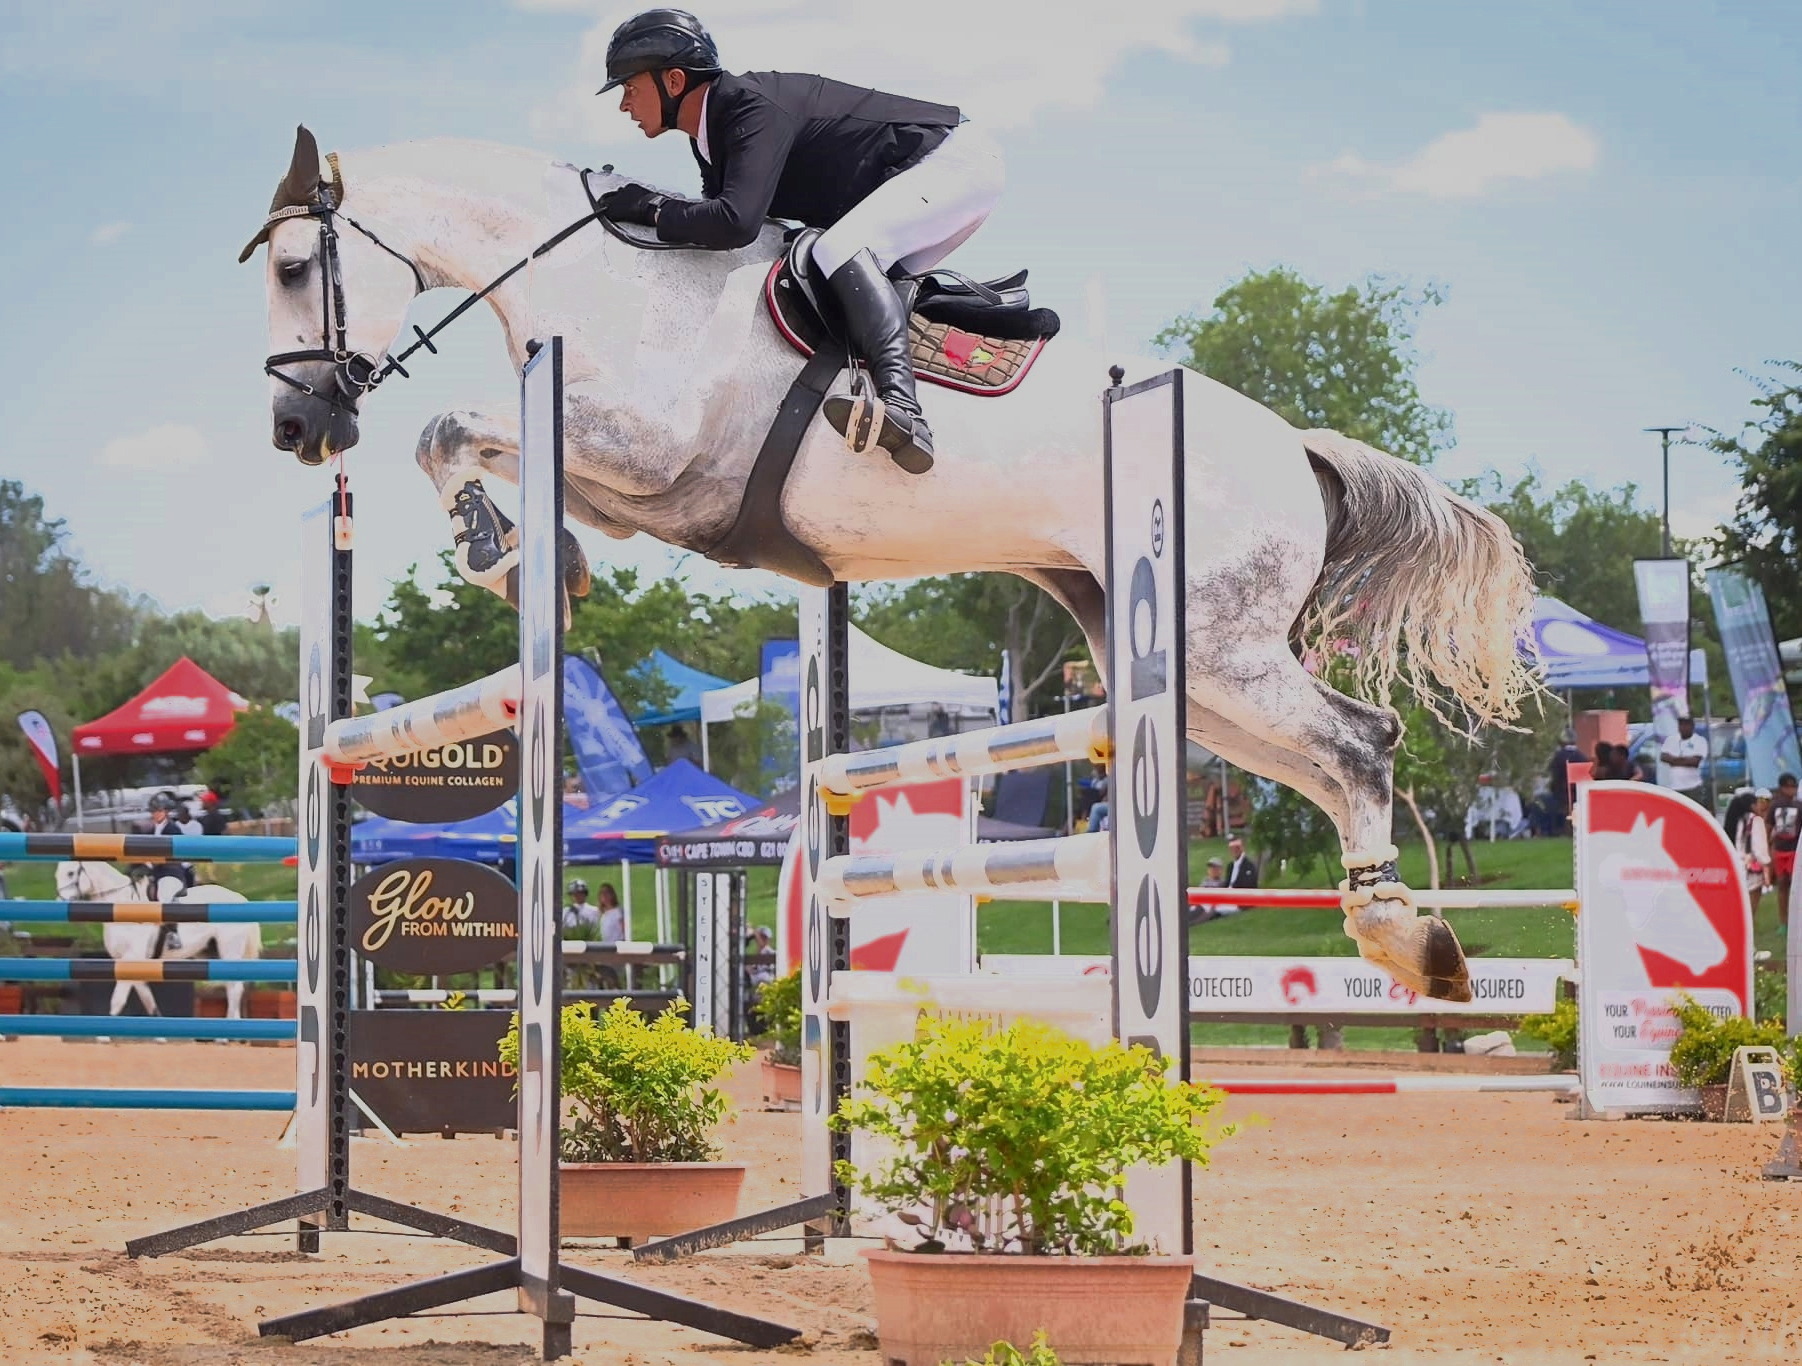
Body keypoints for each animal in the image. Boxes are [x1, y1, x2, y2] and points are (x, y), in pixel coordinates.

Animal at [55, 862, 264, 1019]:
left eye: (71, 873)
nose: (59, 902)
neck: (123, 905)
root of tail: (238, 898)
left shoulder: (131, 958)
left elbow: (117, 1000)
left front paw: (103, 1035)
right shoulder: (129, 962)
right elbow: (148, 999)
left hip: (229, 950)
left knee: (234, 989)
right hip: (209, 952)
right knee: (231, 986)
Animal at [248, 128, 1537, 1002]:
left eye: (294, 269)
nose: (297, 428)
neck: (601, 280)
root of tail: (1297, 450)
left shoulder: (651, 453)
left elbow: (447, 427)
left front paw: (494, 547)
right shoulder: (627, 487)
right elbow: (481, 458)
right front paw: (521, 554)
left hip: (1220, 647)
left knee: (1358, 743)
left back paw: (1403, 938)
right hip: (1187, 669)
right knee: (1322, 766)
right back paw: (1402, 932)